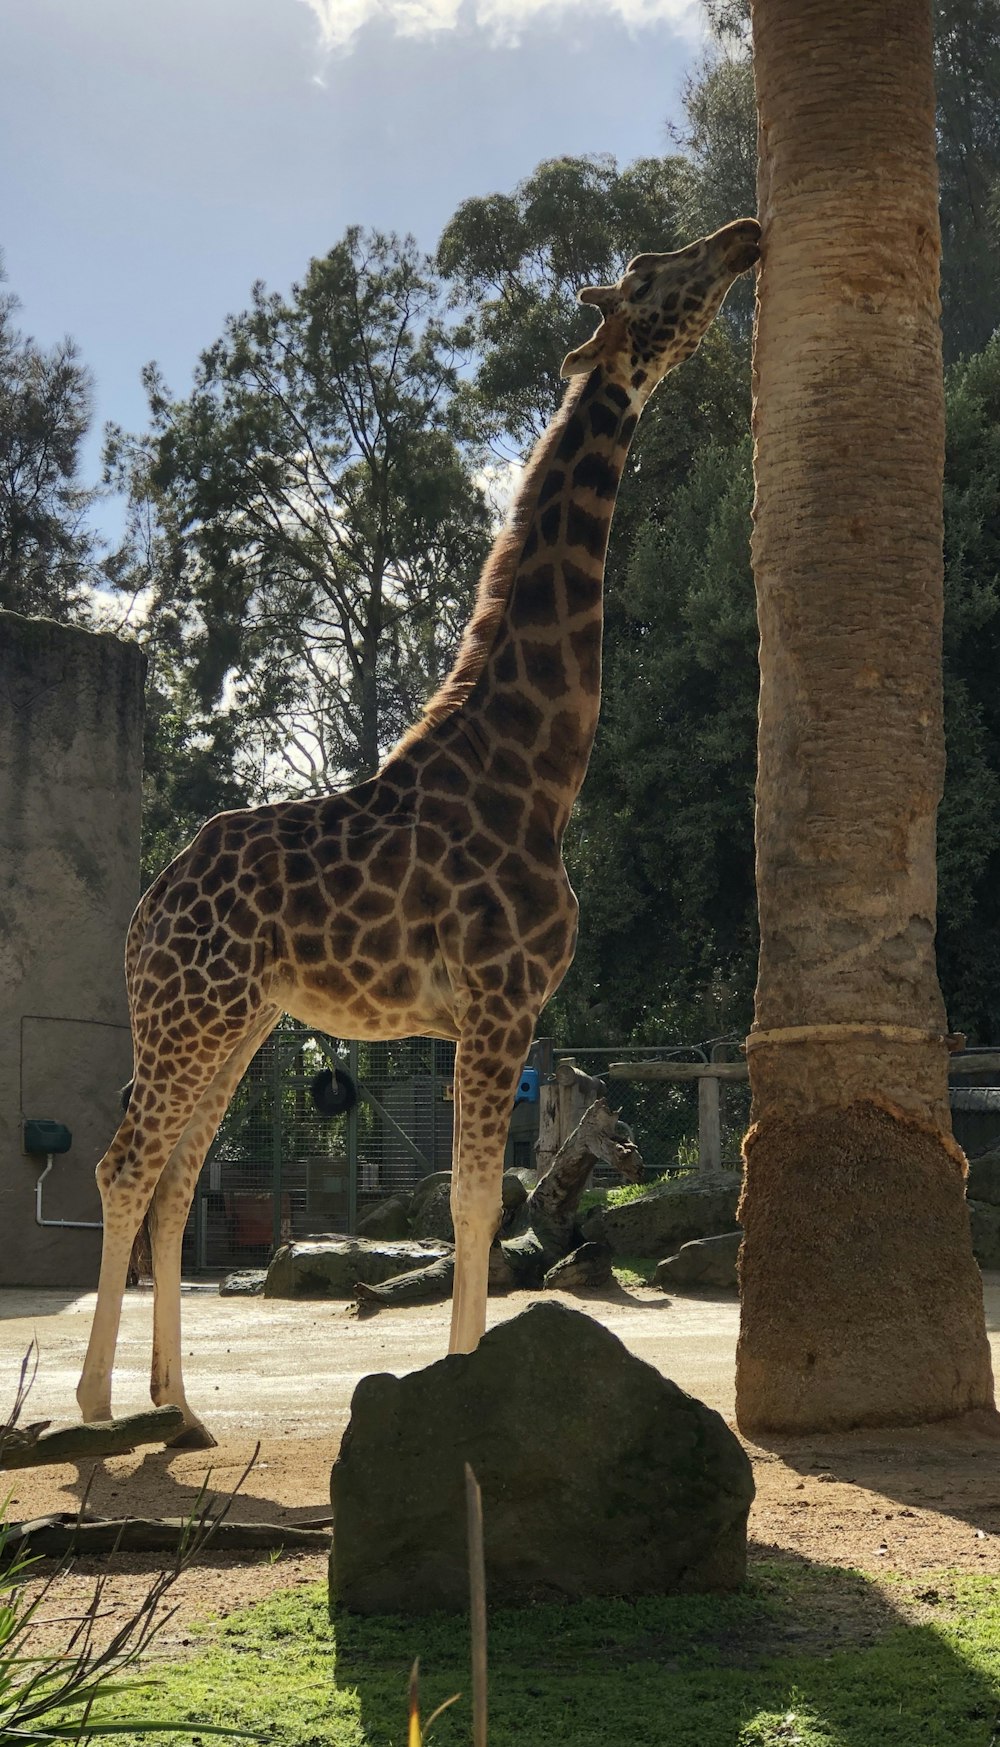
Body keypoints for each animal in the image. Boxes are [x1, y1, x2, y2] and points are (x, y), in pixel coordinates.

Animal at [78, 221, 762, 1446]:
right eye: (651, 277)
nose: (743, 236)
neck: (535, 774)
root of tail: (149, 904)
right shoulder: (498, 1001)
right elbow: (478, 1203)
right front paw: (467, 1391)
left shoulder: (494, 1016)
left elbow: (476, 1204)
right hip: (188, 1014)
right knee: (125, 1166)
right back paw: (99, 1404)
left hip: (236, 1020)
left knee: (176, 1175)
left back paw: (182, 1405)